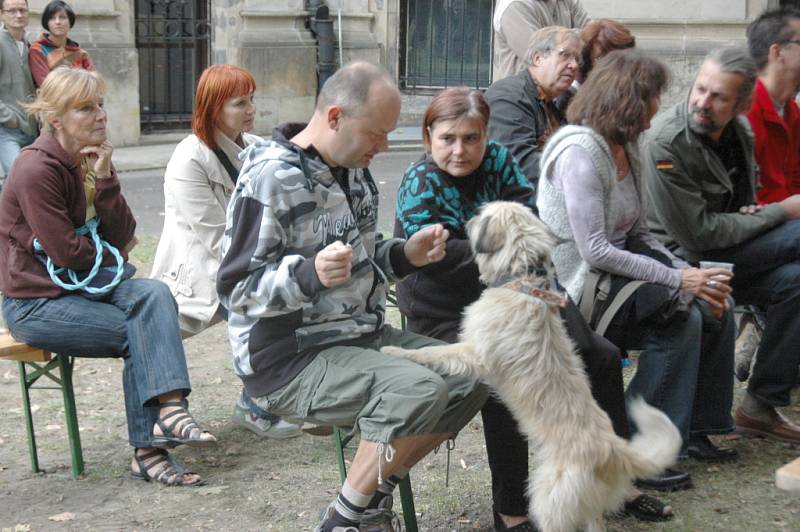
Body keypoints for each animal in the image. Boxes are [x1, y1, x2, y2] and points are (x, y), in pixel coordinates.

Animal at [382, 201, 680, 532]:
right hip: (585, 506)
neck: (520, 281)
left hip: (547, 498)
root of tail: (611, 449)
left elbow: (435, 352)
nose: (464, 222)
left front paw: (397, 351)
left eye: (481, 217)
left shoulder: (474, 353)